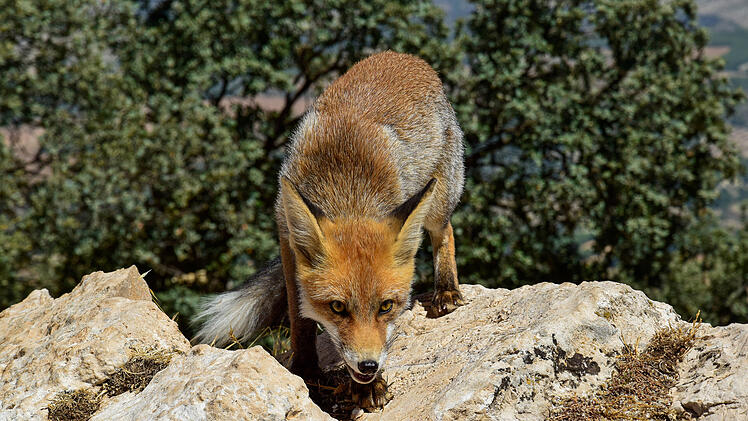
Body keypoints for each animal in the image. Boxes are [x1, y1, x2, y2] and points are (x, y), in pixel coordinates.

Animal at [193, 51, 465, 408]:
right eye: (337, 307)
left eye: (386, 306)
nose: (368, 366)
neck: (348, 191)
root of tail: (403, 57)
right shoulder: (287, 237)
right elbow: (300, 318)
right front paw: (307, 369)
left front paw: (368, 388)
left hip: (438, 197)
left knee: (444, 231)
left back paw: (446, 289)